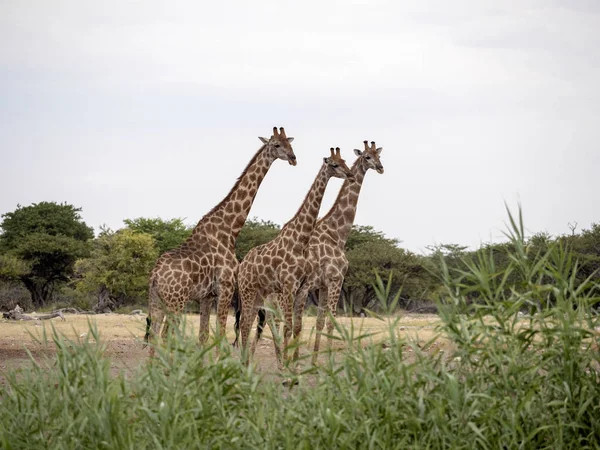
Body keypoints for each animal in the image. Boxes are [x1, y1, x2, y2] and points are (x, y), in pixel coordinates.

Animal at [144, 126, 298, 356]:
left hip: (157, 301)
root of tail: (155, 276)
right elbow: (219, 334)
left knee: (155, 336)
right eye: (277, 145)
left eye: (290, 143)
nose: (293, 158)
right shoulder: (225, 287)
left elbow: (204, 335)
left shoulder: (207, 296)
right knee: (164, 336)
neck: (229, 229)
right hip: (176, 301)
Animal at [237, 146, 354, 368]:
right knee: (246, 324)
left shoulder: (300, 287)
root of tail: (241, 265)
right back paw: (245, 363)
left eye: (345, 161)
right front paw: (287, 366)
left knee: (250, 323)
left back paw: (247, 362)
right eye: (335, 164)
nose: (350, 175)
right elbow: (288, 326)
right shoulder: (290, 285)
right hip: (248, 290)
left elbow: (294, 326)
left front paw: (293, 364)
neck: (300, 240)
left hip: (260, 293)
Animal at [294, 139, 384, 364]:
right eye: (367, 157)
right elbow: (330, 322)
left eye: (379, 156)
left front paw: (315, 363)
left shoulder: (323, 286)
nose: (381, 168)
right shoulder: (336, 280)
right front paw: (329, 363)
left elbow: (319, 322)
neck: (337, 234)